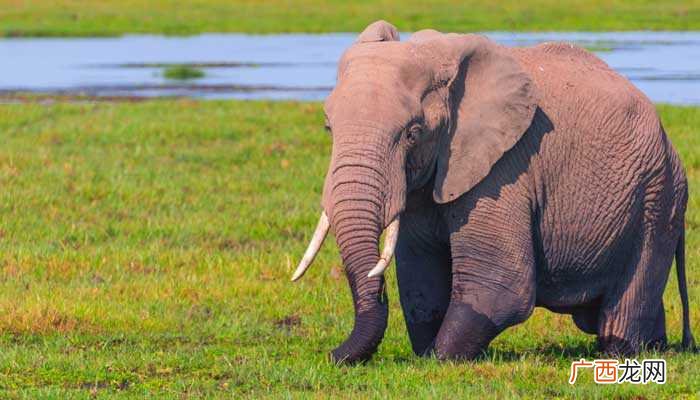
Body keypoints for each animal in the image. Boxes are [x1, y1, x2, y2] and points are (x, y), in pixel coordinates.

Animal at [291, 20, 695, 364]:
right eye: (328, 128)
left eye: (412, 133)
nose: (329, 355)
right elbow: (421, 274)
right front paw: (424, 351)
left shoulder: (504, 169)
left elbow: (500, 285)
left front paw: (438, 357)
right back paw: (657, 346)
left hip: (657, 197)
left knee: (628, 298)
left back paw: (623, 351)